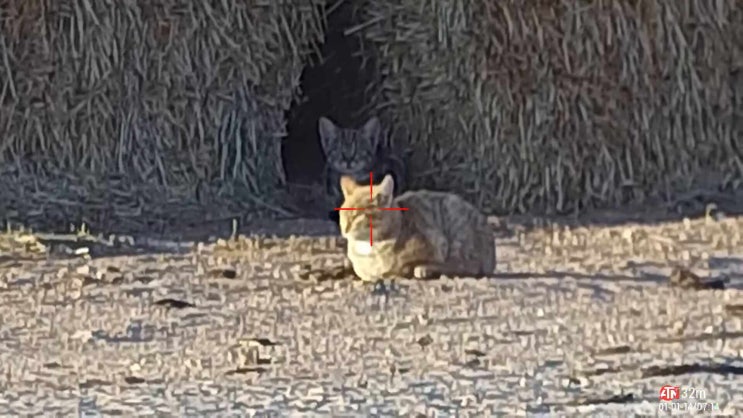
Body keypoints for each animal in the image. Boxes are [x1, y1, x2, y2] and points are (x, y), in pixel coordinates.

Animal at [338, 174, 495, 281]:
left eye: (358, 215)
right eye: (343, 213)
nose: (345, 228)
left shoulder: (436, 243)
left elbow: (401, 265)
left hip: (455, 224)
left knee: (466, 265)